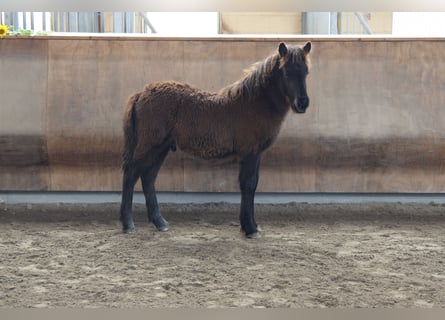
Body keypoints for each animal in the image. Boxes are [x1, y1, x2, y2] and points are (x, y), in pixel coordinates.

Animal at [119, 41, 310, 238]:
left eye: (306, 72)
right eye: (287, 72)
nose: (302, 103)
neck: (253, 103)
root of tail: (141, 93)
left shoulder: (256, 154)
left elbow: (251, 184)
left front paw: (251, 226)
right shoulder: (251, 152)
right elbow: (249, 184)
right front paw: (249, 228)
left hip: (161, 148)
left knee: (148, 177)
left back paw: (160, 222)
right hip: (149, 145)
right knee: (131, 174)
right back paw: (128, 224)